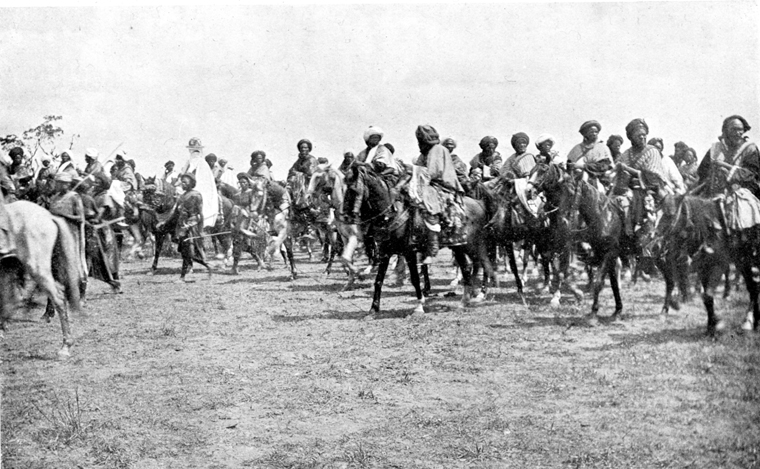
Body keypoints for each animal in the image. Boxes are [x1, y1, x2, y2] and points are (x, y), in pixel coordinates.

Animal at [348, 164, 496, 314]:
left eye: (353, 190)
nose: (347, 216)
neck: (393, 215)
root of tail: (479, 204)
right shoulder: (385, 252)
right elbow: (378, 280)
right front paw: (374, 308)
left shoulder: (410, 252)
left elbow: (415, 278)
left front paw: (419, 306)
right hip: (461, 247)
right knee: (470, 267)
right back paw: (467, 299)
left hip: (472, 245)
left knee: (482, 263)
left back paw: (478, 294)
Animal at [656, 192, 756, 334]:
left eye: (670, 214)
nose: (656, 236)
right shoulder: (702, 270)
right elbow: (706, 298)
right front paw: (711, 326)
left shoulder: (718, 266)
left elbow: (708, 295)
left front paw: (717, 325)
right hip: (742, 263)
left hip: (747, 263)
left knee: (753, 287)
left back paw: (747, 320)